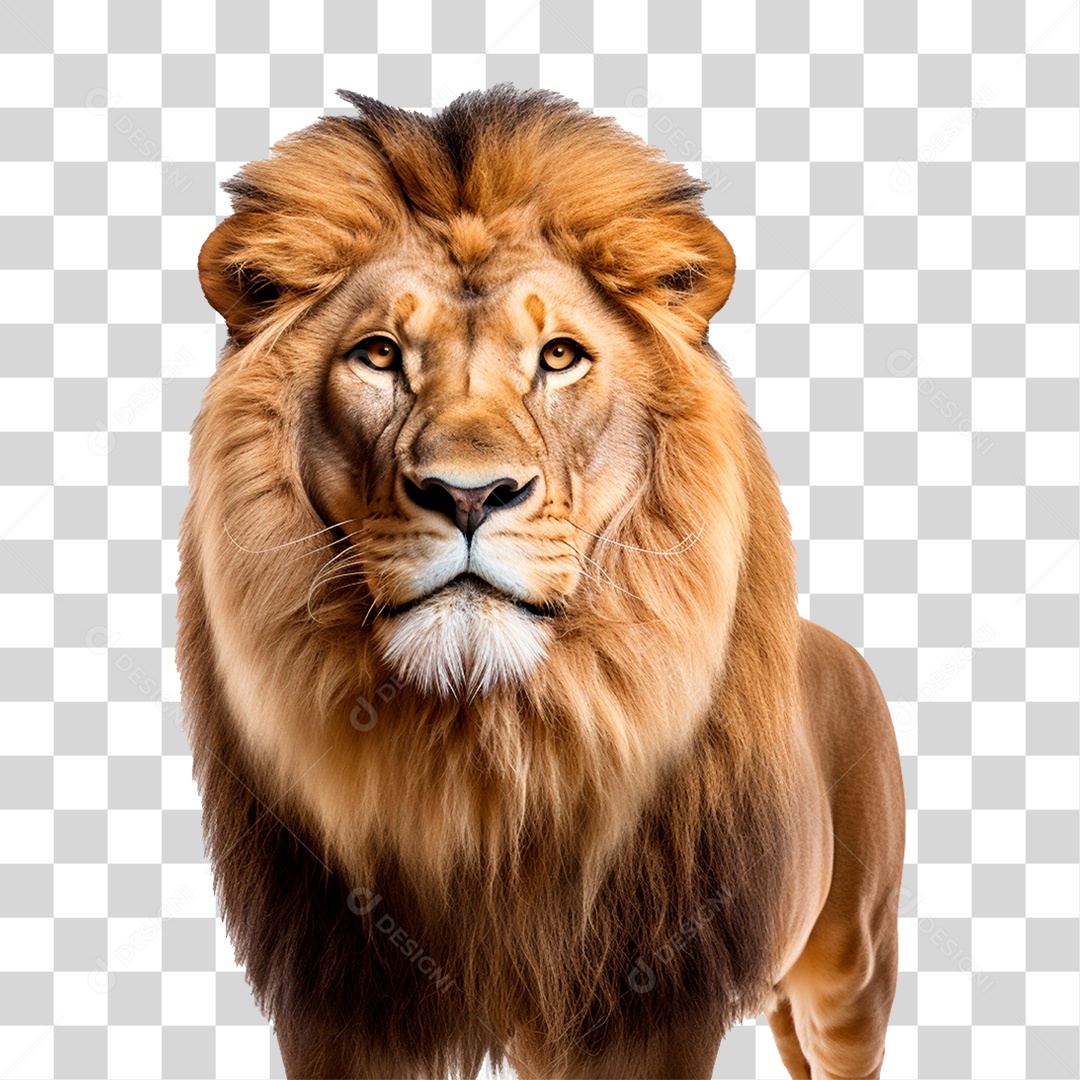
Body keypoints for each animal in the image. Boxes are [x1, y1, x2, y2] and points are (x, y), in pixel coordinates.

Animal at [176, 87, 905, 1080]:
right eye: (378, 354)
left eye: (560, 356)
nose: (469, 493)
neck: (489, 754)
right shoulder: (337, 1003)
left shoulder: (653, 1005)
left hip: (853, 968)